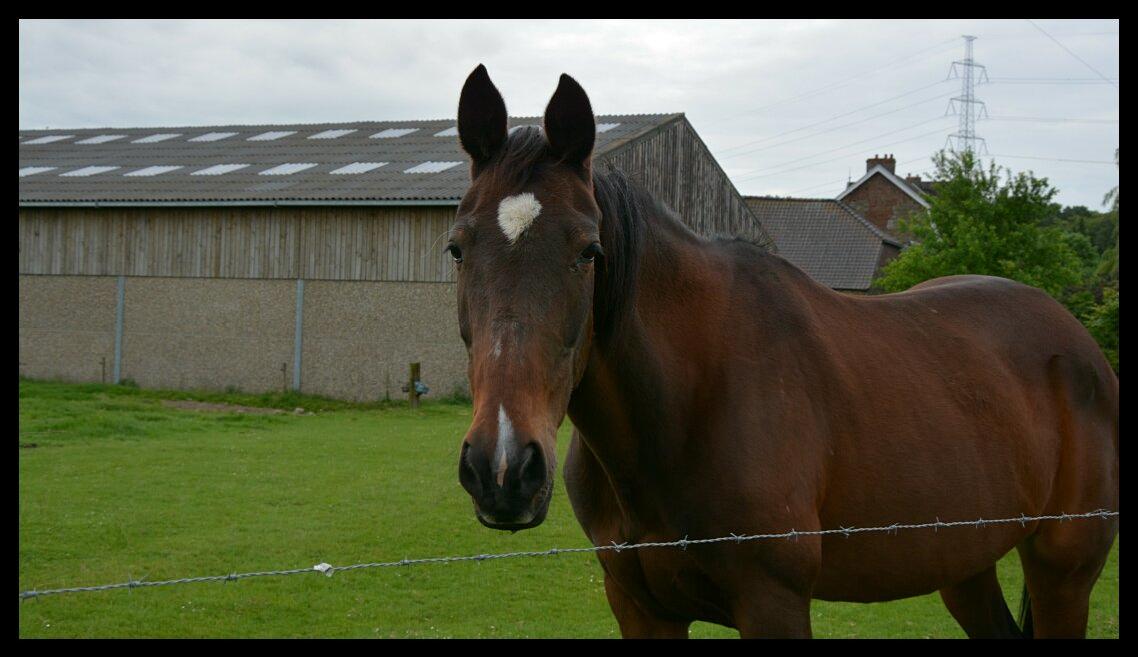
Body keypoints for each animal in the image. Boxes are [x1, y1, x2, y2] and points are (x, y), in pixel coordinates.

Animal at [446, 65, 1119, 637]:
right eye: (456, 247)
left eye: (589, 250)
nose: (503, 469)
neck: (689, 402)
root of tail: (1079, 344)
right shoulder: (640, 607)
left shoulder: (773, 602)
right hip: (965, 565)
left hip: (1063, 572)